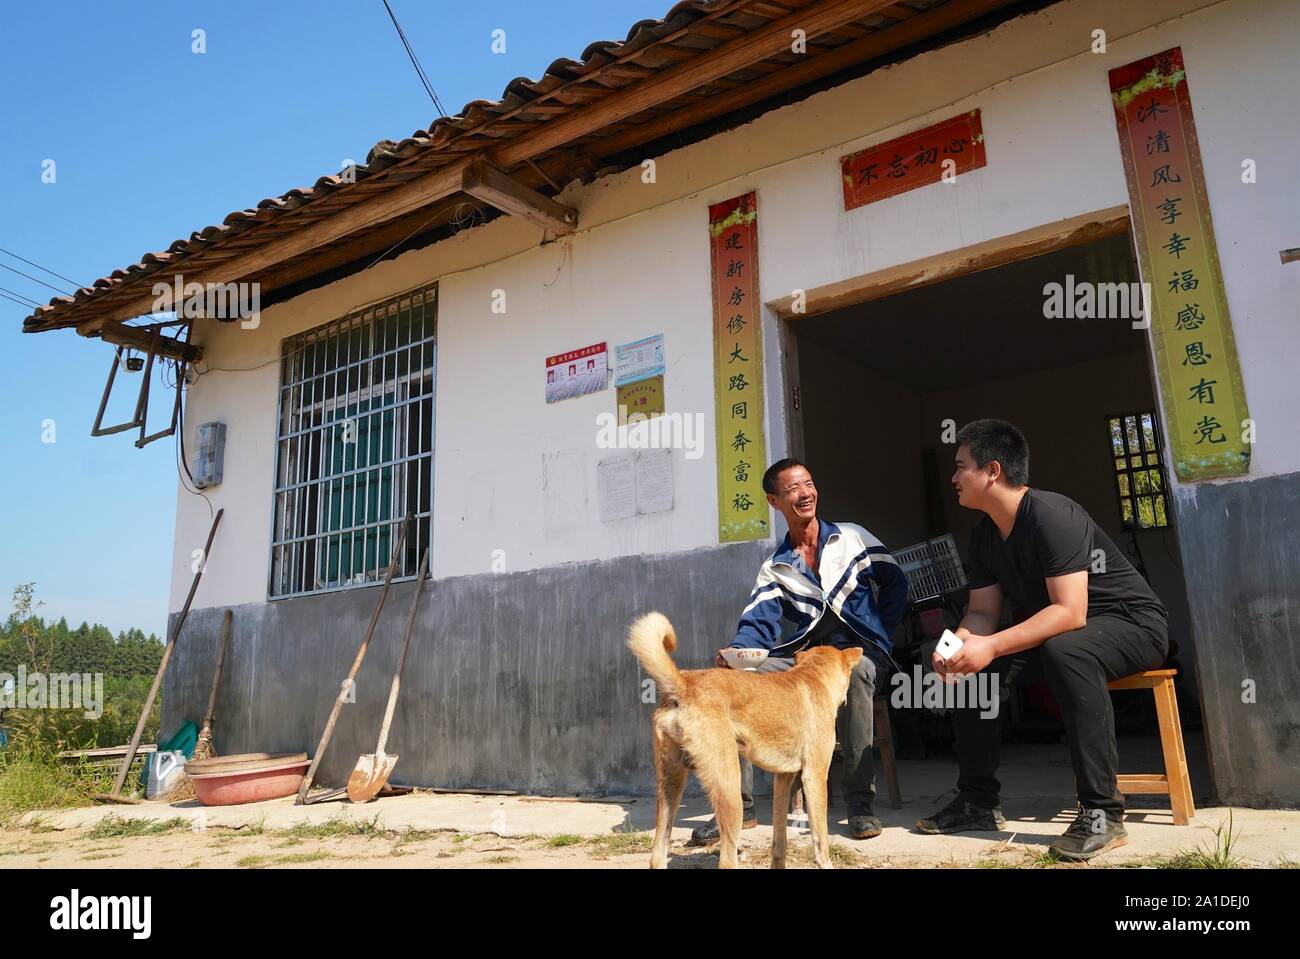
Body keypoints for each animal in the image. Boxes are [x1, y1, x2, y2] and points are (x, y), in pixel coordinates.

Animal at [626, 613, 863, 868]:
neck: (813, 676)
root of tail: (684, 683)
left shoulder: (783, 780)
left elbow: (779, 841)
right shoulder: (815, 776)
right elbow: (821, 841)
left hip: (671, 786)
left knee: (656, 856)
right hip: (730, 791)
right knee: (727, 860)